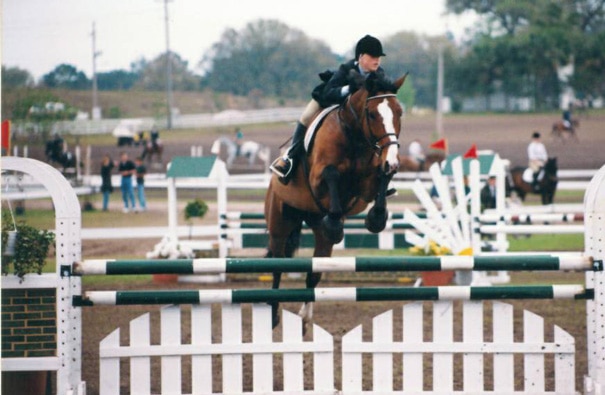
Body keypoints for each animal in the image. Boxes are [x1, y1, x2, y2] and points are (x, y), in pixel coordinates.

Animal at [264, 71, 406, 332]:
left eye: (399, 112)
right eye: (372, 114)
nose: (393, 161)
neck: (355, 135)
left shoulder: (366, 185)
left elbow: (381, 178)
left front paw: (377, 218)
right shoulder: (318, 177)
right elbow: (331, 174)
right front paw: (336, 222)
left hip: (319, 234)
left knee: (314, 272)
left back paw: (305, 318)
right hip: (280, 224)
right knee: (277, 266)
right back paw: (273, 315)